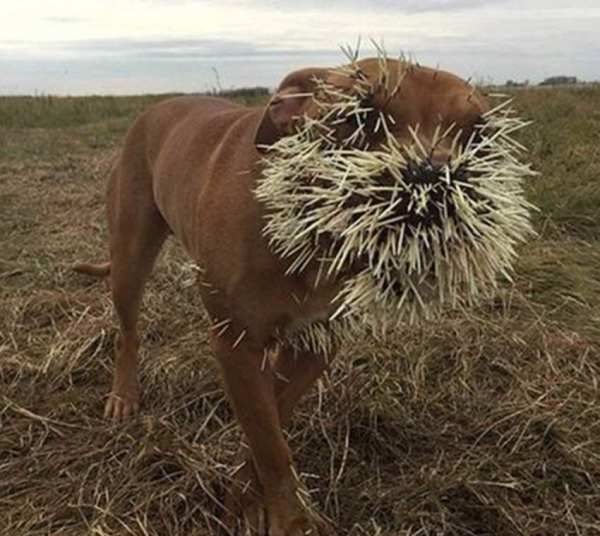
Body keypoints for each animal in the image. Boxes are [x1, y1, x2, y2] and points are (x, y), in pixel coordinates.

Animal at [75, 56, 488, 532]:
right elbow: (270, 443)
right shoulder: (236, 342)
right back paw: (124, 396)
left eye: (479, 134)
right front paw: (289, 521)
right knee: (127, 332)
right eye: (360, 116)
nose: (434, 179)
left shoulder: (316, 343)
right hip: (130, 256)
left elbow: (271, 418)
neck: (312, 233)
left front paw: (246, 497)